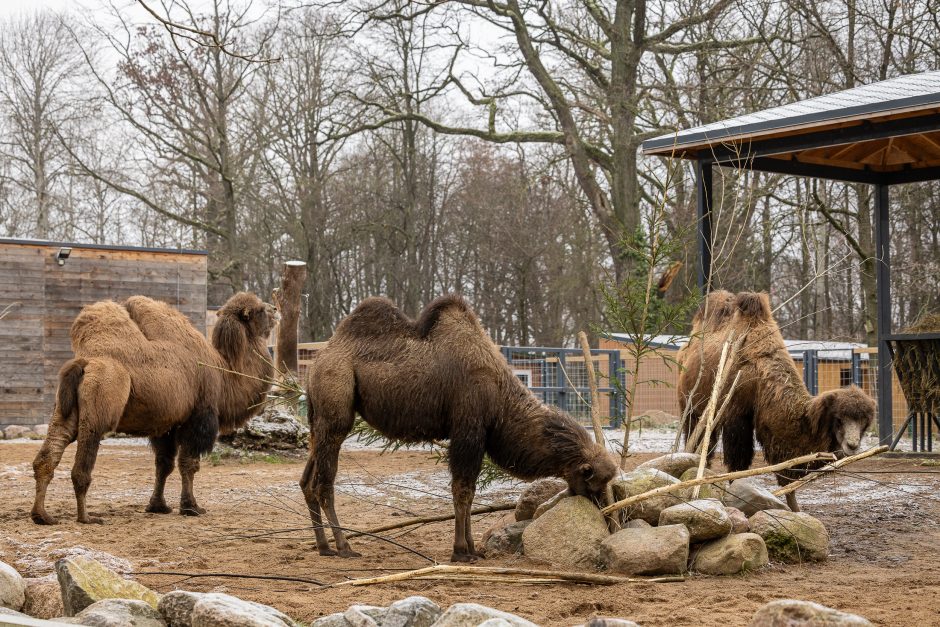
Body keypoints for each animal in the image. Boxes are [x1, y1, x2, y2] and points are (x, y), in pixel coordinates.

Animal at [30, 294, 280, 524]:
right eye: (259, 310)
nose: (276, 309)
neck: (225, 373)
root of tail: (85, 362)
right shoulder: (198, 417)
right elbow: (189, 464)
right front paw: (191, 507)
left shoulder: (165, 425)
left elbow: (164, 465)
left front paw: (158, 506)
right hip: (98, 409)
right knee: (81, 466)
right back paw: (86, 518)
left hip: (64, 412)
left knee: (48, 455)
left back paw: (42, 515)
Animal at [302, 296, 616, 564]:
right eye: (594, 482)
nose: (607, 514)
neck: (501, 399)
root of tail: (317, 362)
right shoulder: (468, 430)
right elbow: (462, 490)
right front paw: (461, 551)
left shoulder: (475, 437)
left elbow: (471, 490)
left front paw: (474, 549)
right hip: (336, 408)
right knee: (323, 482)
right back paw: (344, 546)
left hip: (318, 420)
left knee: (307, 480)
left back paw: (323, 546)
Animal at [680, 292, 876, 512]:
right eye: (839, 419)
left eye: (864, 422)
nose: (852, 445)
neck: (762, 375)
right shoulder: (737, 417)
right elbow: (738, 462)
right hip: (691, 407)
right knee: (699, 438)